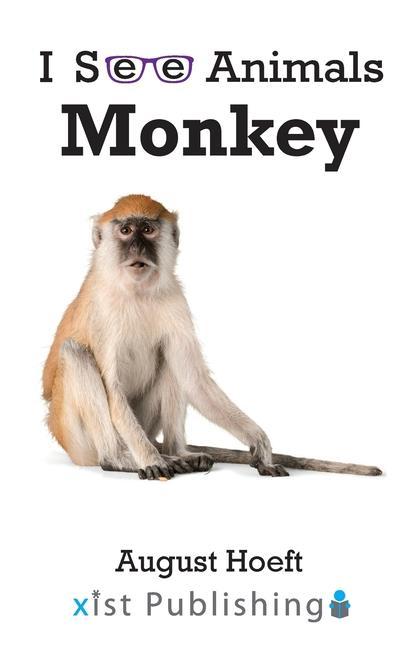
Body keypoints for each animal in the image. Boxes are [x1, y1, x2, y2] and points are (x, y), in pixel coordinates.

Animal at [43, 194, 382, 480]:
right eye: (125, 230)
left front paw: (259, 441)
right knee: (75, 353)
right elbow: (112, 388)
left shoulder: (175, 300)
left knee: (172, 363)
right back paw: (120, 459)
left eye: (148, 230)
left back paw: (178, 453)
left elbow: (194, 380)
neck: (137, 291)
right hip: (78, 438)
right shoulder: (102, 312)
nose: (137, 247)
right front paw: (150, 460)